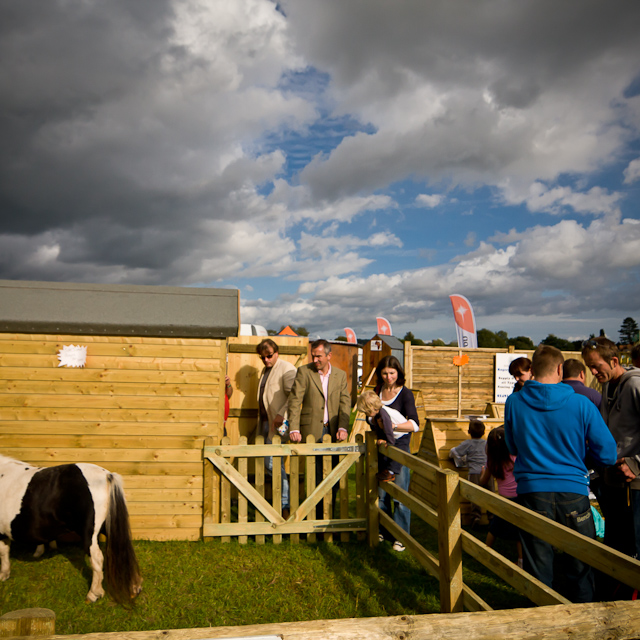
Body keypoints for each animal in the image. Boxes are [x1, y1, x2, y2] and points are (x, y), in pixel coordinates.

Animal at [0, 456, 141, 604]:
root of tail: (107, 475)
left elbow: (3, 551)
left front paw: (4, 574)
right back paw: (134, 586)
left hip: (89, 535)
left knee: (97, 559)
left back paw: (94, 594)